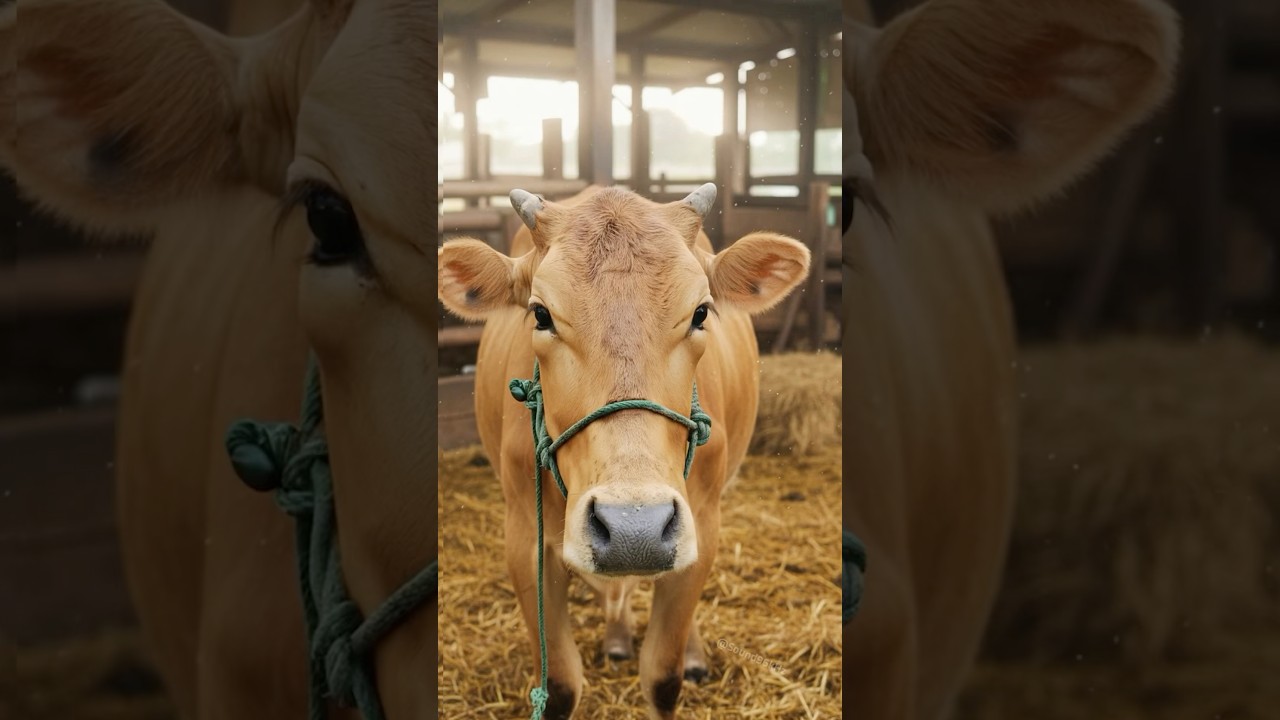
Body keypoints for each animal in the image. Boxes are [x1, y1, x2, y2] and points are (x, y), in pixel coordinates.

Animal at [436, 185, 811, 719]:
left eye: (701, 312)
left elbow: (663, 678)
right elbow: (560, 687)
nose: (636, 529)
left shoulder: (702, 523)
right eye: (540, 314)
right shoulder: (524, 538)